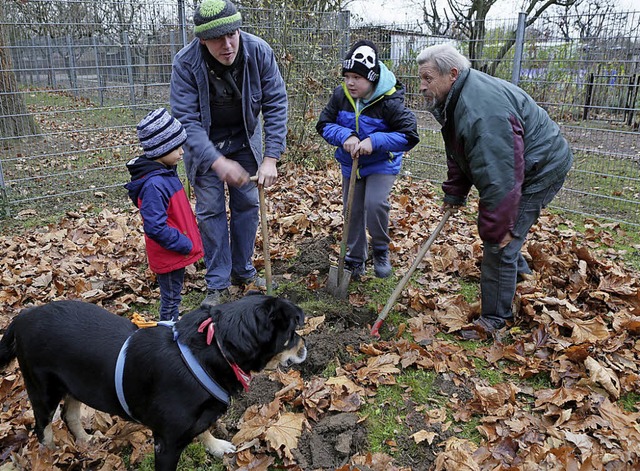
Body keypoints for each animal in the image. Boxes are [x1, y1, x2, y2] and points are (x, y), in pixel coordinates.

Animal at [0, 296, 308, 470]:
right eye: (292, 334)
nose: (306, 347)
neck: (213, 350)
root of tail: (21, 318)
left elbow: (203, 429)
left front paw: (216, 446)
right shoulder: (166, 444)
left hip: (75, 383)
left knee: (70, 414)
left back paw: (86, 441)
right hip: (43, 391)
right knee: (44, 429)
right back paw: (50, 456)